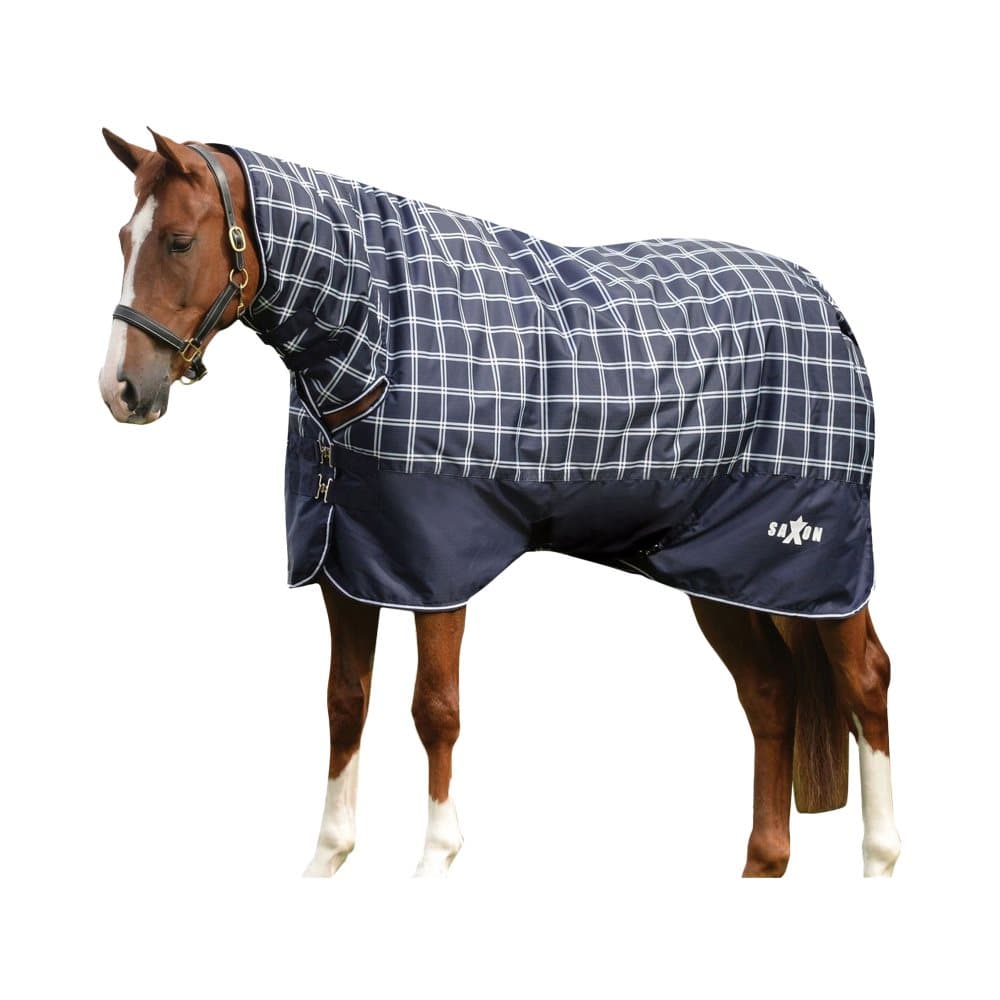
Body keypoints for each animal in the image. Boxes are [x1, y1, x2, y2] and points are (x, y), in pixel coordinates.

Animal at [98, 127, 901, 877]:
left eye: (177, 240)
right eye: (122, 239)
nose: (121, 390)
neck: (377, 332)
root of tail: (825, 303)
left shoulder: (436, 570)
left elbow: (435, 709)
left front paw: (436, 856)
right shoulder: (347, 567)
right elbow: (345, 703)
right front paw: (328, 856)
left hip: (816, 566)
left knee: (866, 680)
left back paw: (879, 857)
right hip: (723, 573)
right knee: (769, 692)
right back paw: (763, 862)